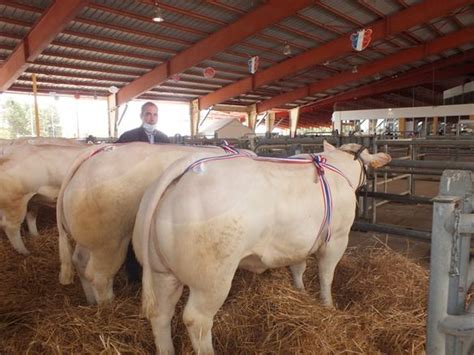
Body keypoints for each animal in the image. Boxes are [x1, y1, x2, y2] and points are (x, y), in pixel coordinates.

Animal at [56, 142, 252, 306]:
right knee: (99, 276)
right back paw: (107, 305)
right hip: (109, 241)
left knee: (79, 260)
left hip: (89, 236)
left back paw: (91, 301)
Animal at [132, 143, 388, 355]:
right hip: (211, 280)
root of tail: (185, 170)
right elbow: (326, 276)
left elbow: (298, 268)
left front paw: (301, 292)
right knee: (197, 320)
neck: (337, 166)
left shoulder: (298, 242)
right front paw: (328, 306)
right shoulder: (336, 239)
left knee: (161, 315)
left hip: (162, 272)